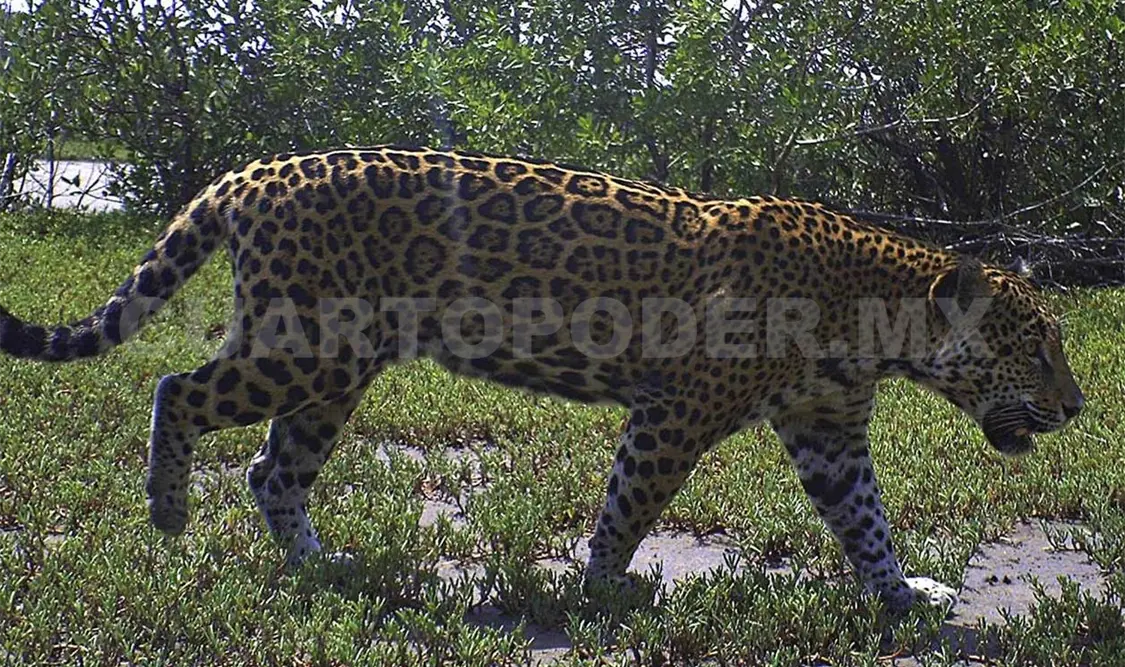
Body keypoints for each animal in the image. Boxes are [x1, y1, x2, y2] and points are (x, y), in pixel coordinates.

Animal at [0, 145, 1084, 611]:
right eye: (1036, 346)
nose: (1076, 408)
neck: (873, 317)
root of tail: (254, 173)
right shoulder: (674, 411)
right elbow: (629, 502)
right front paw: (600, 589)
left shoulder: (828, 428)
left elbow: (863, 516)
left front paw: (901, 589)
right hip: (298, 346)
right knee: (178, 391)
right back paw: (168, 509)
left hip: (338, 367)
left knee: (275, 470)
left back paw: (323, 565)